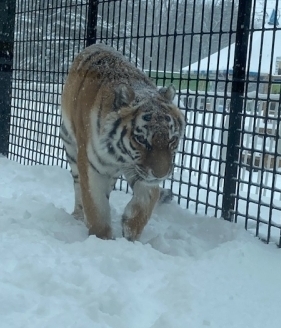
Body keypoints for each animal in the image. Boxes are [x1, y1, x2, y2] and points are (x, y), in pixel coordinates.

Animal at [59, 43, 184, 241]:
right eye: (141, 139)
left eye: (172, 139)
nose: (161, 175)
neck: (121, 155)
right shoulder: (92, 166)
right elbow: (96, 207)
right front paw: (102, 239)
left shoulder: (138, 171)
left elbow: (147, 199)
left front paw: (130, 229)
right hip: (70, 145)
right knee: (78, 187)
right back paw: (78, 215)